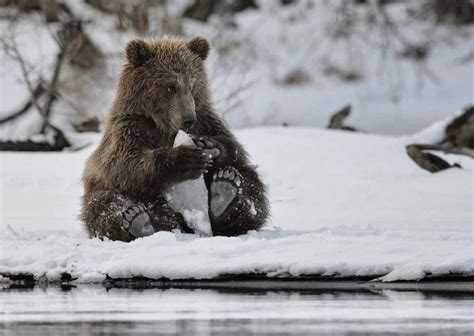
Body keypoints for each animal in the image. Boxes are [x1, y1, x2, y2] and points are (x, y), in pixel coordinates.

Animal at [79, 36, 268, 242]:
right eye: (170, 86)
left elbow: (233, 146)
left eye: (192, 85)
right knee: (103, 203)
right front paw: (185, 158)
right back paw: (138, 221)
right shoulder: (129, 128)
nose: (188, 119)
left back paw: (224, 192)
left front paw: (210, 146)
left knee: (249, 182)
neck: (165, 125)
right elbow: (125, 163)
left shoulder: (205, 120)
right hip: (122, 194)